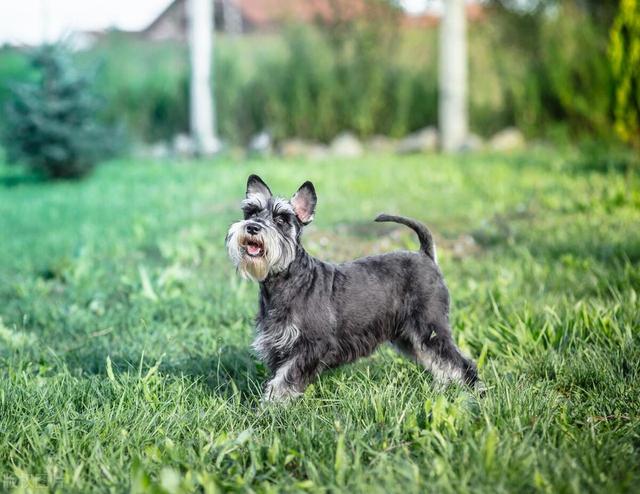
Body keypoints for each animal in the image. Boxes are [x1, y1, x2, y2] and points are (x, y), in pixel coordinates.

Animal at [226, 175, 480, 402]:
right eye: (251, 212)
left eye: (281, 219)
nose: (252, 227)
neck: (287, 280)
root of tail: (425, 256)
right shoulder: (278, 346)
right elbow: (278, 379)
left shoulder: (310, 347)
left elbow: (283, 381)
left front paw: (269, 410)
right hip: (409, 337)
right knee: (439, 364)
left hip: (430, 328)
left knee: (461, 363)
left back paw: (476, 394)